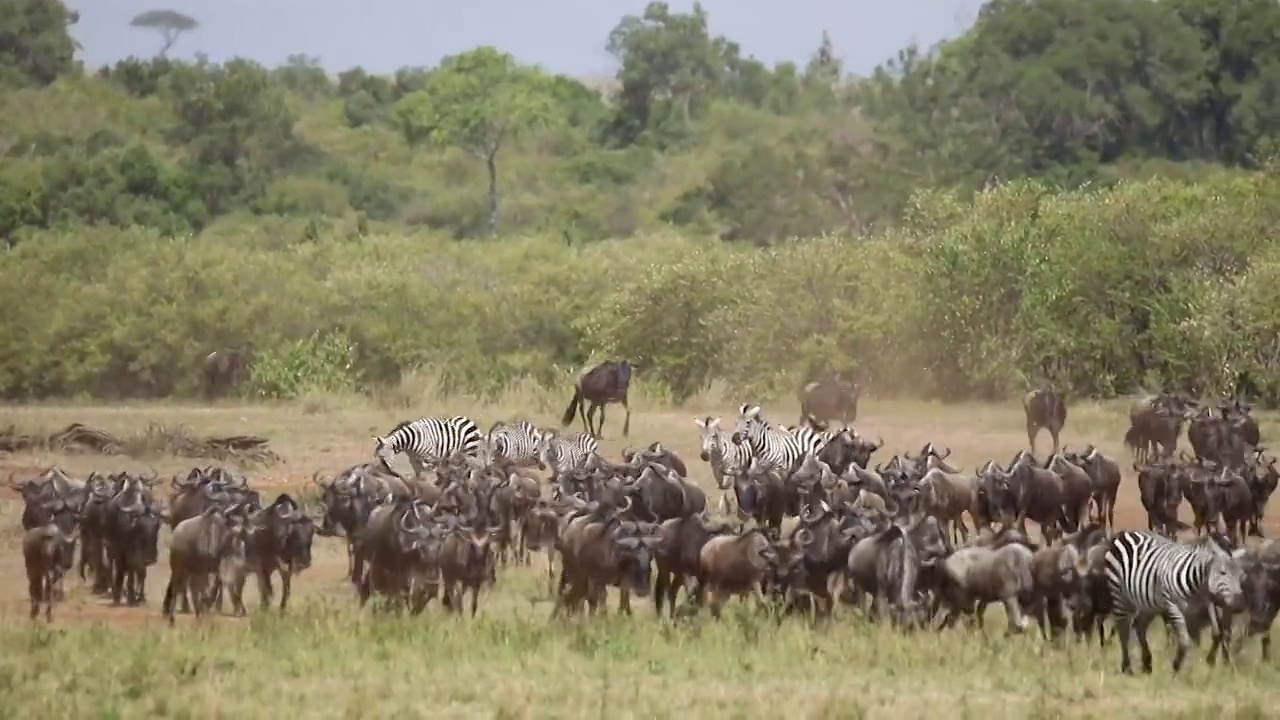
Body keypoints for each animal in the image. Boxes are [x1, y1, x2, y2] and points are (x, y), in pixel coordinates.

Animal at [1105, 527, 1244, 671]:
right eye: (1223, 573)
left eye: (1241, 576)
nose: (1239, 605)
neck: (1199, 587)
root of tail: (1127, 532)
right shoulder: (1173, 606)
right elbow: (1185, 641)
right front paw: (1177, 666)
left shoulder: (1208, 603)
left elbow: (1216, 633)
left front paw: (1210, 660)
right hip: (1119, 594)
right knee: (1123, 630)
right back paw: (1127, 667)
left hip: (1148, 603)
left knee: (1139, 625)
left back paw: (1146, 663)